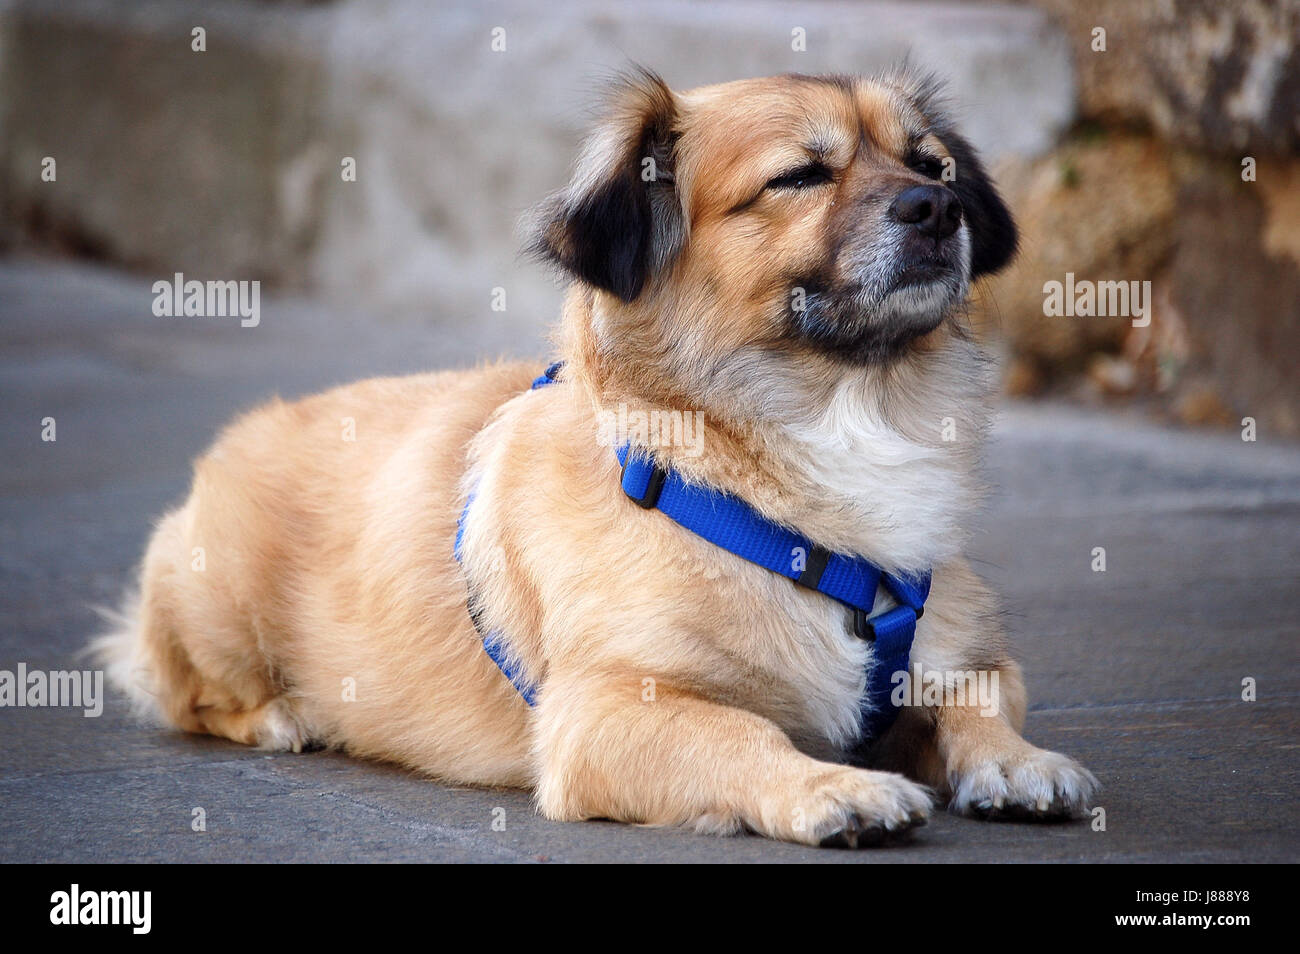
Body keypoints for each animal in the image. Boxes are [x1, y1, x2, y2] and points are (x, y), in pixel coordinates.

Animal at [98, 72, 1097, 852]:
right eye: (799, 177)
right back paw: (282, 715)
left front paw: (1018, 763)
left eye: (930, 164)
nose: (939, 206)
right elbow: (741, 736)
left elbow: (974, 699)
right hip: (214, 606)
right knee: (190, 695)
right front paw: (832, 787)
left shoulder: (966, 655)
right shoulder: (605, 716)